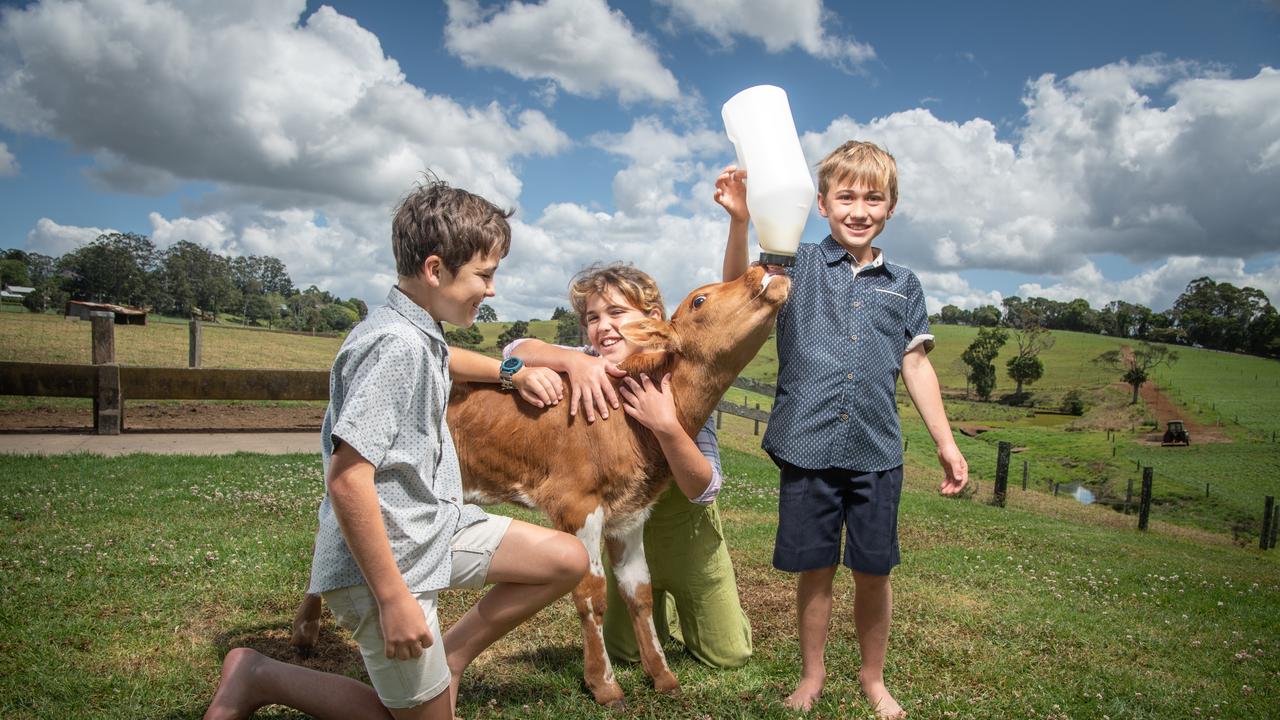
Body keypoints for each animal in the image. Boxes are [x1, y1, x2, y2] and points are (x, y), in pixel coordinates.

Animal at [291, 262, 788, 702]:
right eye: (700, 299)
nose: (768, 266)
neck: (632, 423)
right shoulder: (577, 503)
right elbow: (591, 595)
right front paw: (604, 685)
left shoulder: (629, 514)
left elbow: (639, 593)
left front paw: (662, 677)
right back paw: (307, 630)